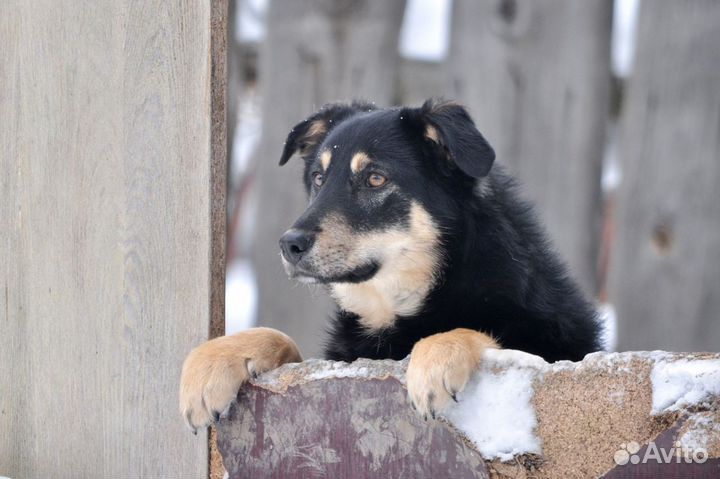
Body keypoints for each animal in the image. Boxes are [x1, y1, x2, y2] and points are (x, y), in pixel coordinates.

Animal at [180, 100, 600, 432]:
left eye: (375, 179)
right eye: (318, 178)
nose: (289, 244)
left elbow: (469, 331)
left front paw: (435, 360)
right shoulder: (340, 359)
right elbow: (278, 336)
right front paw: (211, 364)